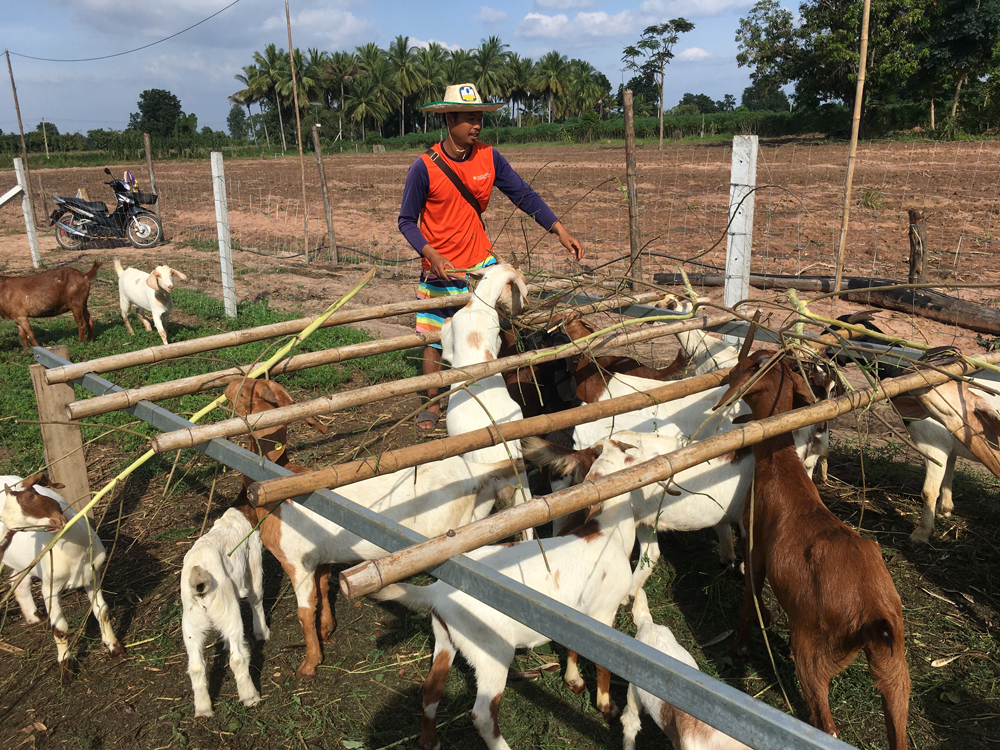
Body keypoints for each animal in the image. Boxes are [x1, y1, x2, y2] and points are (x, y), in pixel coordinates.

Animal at [0, 476, 124, 688]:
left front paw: (115, 647)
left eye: (31, 495)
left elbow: (102, 610)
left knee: (17, 580)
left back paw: (35, 618)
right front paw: (66, 670)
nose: (56, 522)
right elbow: (60, 628)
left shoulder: (93, 575)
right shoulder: (50, 588)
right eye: (19, 529)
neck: (74, 555)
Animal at [182, 508, 270, 720]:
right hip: (228, 610)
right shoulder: (253, 554)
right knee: (237, 658)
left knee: (196, 667)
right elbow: (256, 596)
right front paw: (262, 632)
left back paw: (203, 710)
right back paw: (250, 697)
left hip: (191, 623)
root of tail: (199, 582)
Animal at [372, 434, 636, 750]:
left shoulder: (580, 616)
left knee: (431, 689)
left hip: (445, 636)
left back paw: (430, 742)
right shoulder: (604, 613)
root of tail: (435, 592)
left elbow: (575, 648)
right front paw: (608, 708)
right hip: (491, 650)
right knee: (482, 714)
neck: (607, 531)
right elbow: (603, 666)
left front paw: (573, 681)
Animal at [724, 350, 912, 748]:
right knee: (897, 720)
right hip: (894, 665)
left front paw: (740, 647)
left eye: (747, 366)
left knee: (826, 723)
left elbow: (750, 597)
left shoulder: (756, 544)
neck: (781, 466)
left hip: (814, 650)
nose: (727, 374)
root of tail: (873, 615)